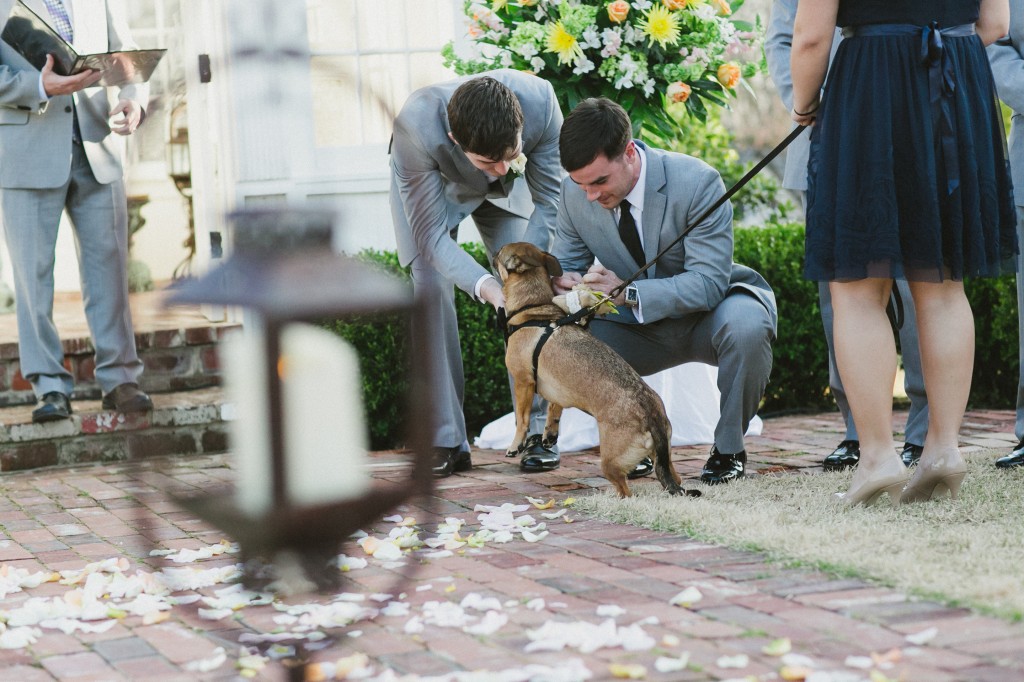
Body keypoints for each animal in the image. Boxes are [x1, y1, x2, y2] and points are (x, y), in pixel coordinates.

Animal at [489, 241, 696, 497]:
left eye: (500, 254)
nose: (492, 253)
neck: (535, 307)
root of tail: (652, 415)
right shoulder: (558, 389)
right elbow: (554, 410)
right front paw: (549, 435)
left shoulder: (523, 382)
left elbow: (522, 419)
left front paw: (515, 445)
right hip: (663, 458)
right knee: (674, 478)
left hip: (610, 461)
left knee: (626, 490)